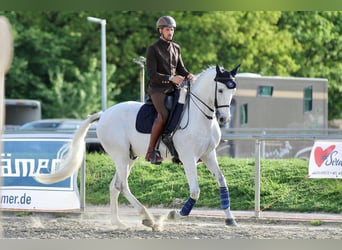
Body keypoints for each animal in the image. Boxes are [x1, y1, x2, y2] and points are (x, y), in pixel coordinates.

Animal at [33, 64, 239, 230]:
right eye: (220, 90)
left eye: (233, 91)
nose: (224, 119)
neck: (200, 115)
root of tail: (104, 114)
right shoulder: (188, 158)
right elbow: (195, 191)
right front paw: (175, 215)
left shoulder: (209, 155)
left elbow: (222, 182)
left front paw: (230, 219)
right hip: (121, 155)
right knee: (122, 185)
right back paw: (149, 219)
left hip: (129, 157)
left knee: (114, 186)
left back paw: (118, 222)